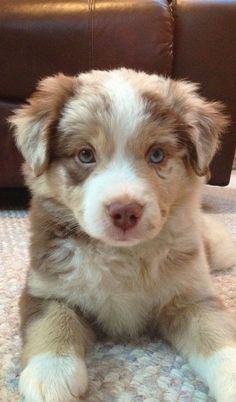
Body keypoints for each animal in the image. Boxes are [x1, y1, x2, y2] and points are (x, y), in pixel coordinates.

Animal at [10, 70, 236, 402]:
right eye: (85, 154)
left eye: (157, 154)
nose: (125, 211)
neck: (122, 254)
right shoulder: (46, 288)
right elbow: (51, 321)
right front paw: (51, 373)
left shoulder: (192, 296)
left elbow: (216, 332)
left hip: (217, 249)